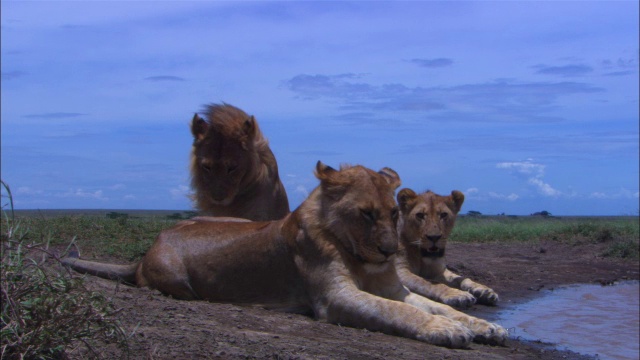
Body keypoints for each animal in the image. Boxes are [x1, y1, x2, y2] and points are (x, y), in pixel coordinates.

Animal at [63, 164, 504, 348]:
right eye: (365, 213)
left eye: (393, 213)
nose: (391, 252)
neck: (357, 253)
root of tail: (145, 252)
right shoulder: (335, 298)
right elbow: (404, 312)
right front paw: (445, 330)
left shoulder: (397, 288)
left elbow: (433, 303)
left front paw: (484, 326)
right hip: (178, 279)